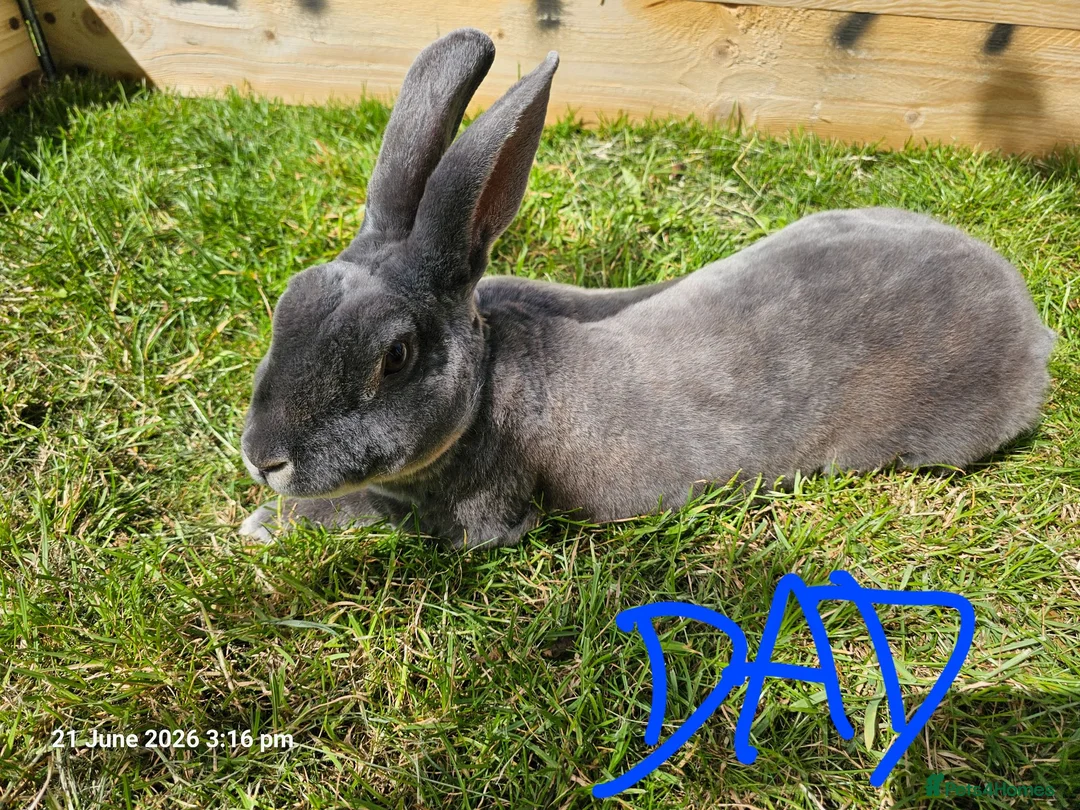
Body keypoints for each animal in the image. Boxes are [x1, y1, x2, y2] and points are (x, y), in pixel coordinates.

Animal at [238, 27, 1056, 549]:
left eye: (396, 357)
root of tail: (1028, 323)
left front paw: (263, 526)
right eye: (289, 302)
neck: (488, 381)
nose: (262, 458)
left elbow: (368, 515)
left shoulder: (477, 518)